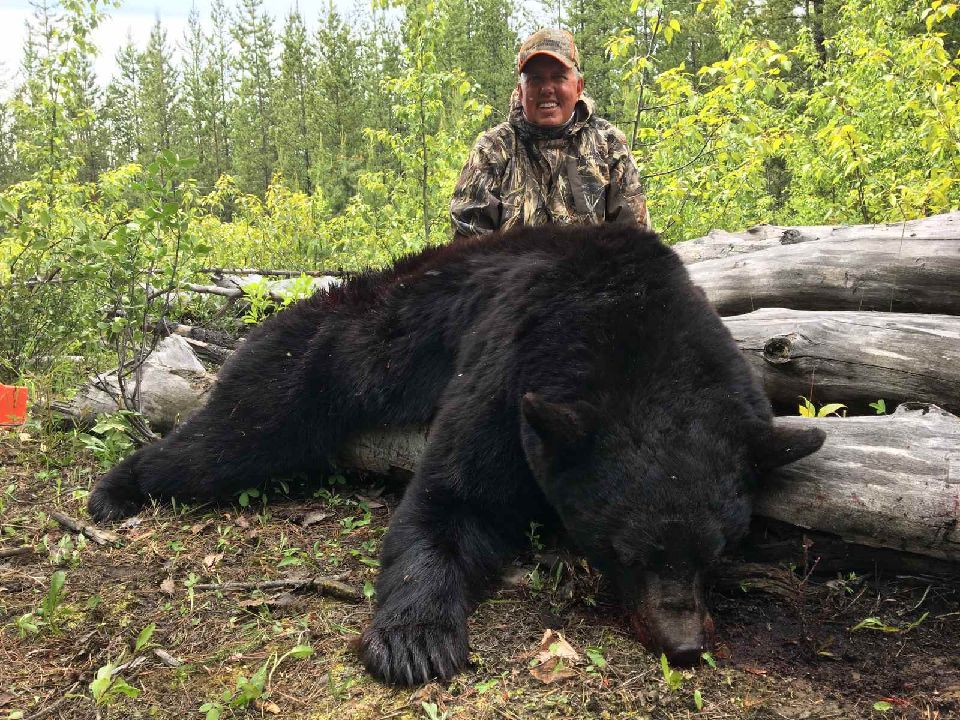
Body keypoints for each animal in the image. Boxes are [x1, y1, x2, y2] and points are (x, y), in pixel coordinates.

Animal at [90, 225, 820, 688]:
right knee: (237, 432)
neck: (628, 317)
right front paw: (414, 641)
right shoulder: (511, 360)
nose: (685, 644)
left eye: (717, 550)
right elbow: (453, 498)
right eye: (627, 551)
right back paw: (114, 490)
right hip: (323, 354)